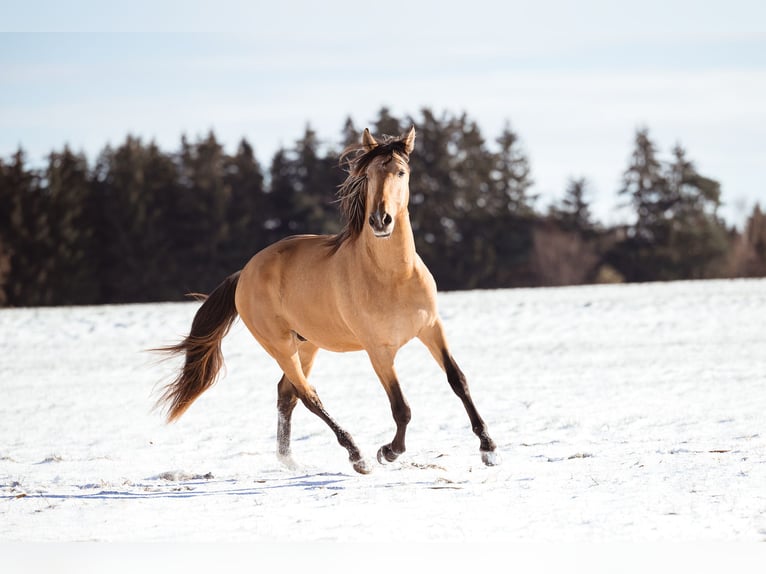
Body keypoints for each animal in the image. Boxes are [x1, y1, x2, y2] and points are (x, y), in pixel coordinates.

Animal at [159, 128, 500, 474]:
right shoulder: (379, 351)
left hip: (308, 344)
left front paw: (488, 448)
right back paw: (356, 455)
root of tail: (245, 273)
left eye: (401, 172)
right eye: (368, 175)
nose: (381, 220)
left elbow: (458, 380)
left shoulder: (431, 328)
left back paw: (290, 460)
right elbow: (401, 407)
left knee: (287, 393)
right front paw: (388, 451)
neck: (394, 276)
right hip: (280, 345)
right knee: (308, 395)